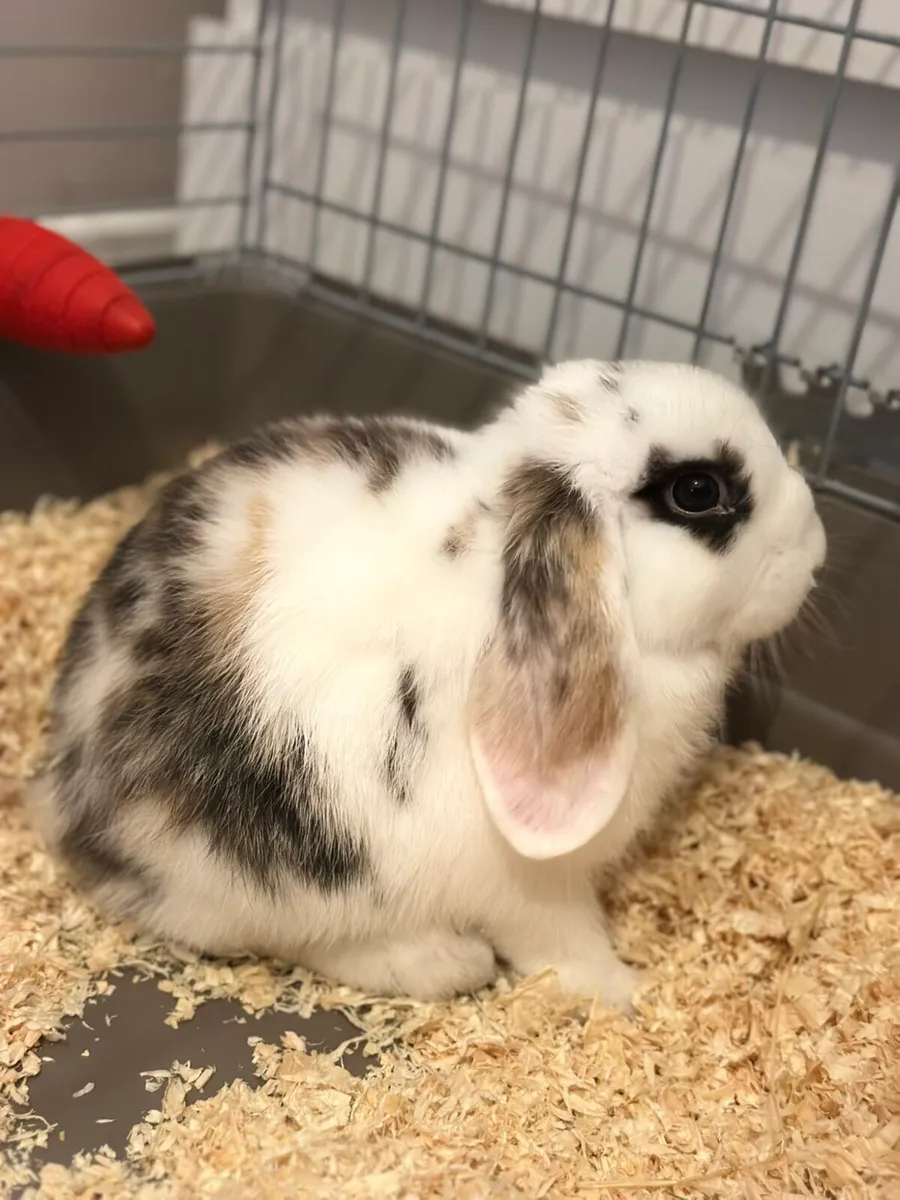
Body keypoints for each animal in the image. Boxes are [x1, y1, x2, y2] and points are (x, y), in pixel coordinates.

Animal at [27, 359, 826, 1010]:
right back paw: (443, 961)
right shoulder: (535, 888)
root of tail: (68, 804)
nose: (817, 543)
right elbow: (565, 944)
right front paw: (626, 992)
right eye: (697, 490)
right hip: (270, 884)